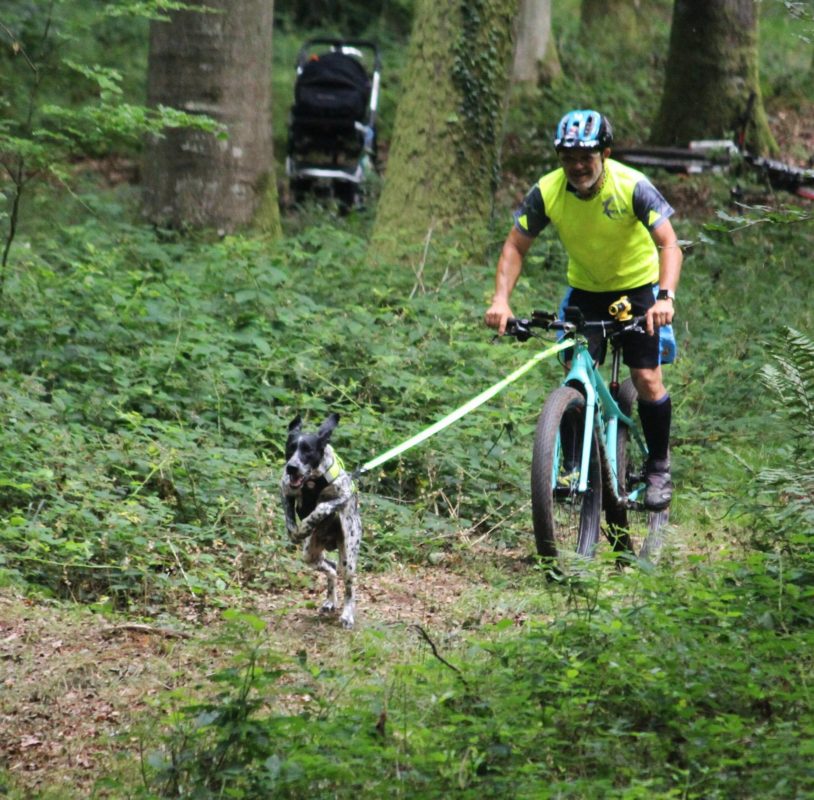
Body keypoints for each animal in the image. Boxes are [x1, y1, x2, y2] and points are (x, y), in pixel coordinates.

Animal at [282, 412, 362, 632]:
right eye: (290, 447)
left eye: (307, 450)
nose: (291, 467)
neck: (312, 481)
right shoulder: (285, 491)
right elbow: (289, 518)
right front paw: (296, 532)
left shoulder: (343, 495)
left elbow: (321, 508)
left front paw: (306, 524)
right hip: (311, 554)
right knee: (332, 568)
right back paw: (330, 601)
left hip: (348, 556)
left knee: (349, 585)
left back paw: (347, 615)